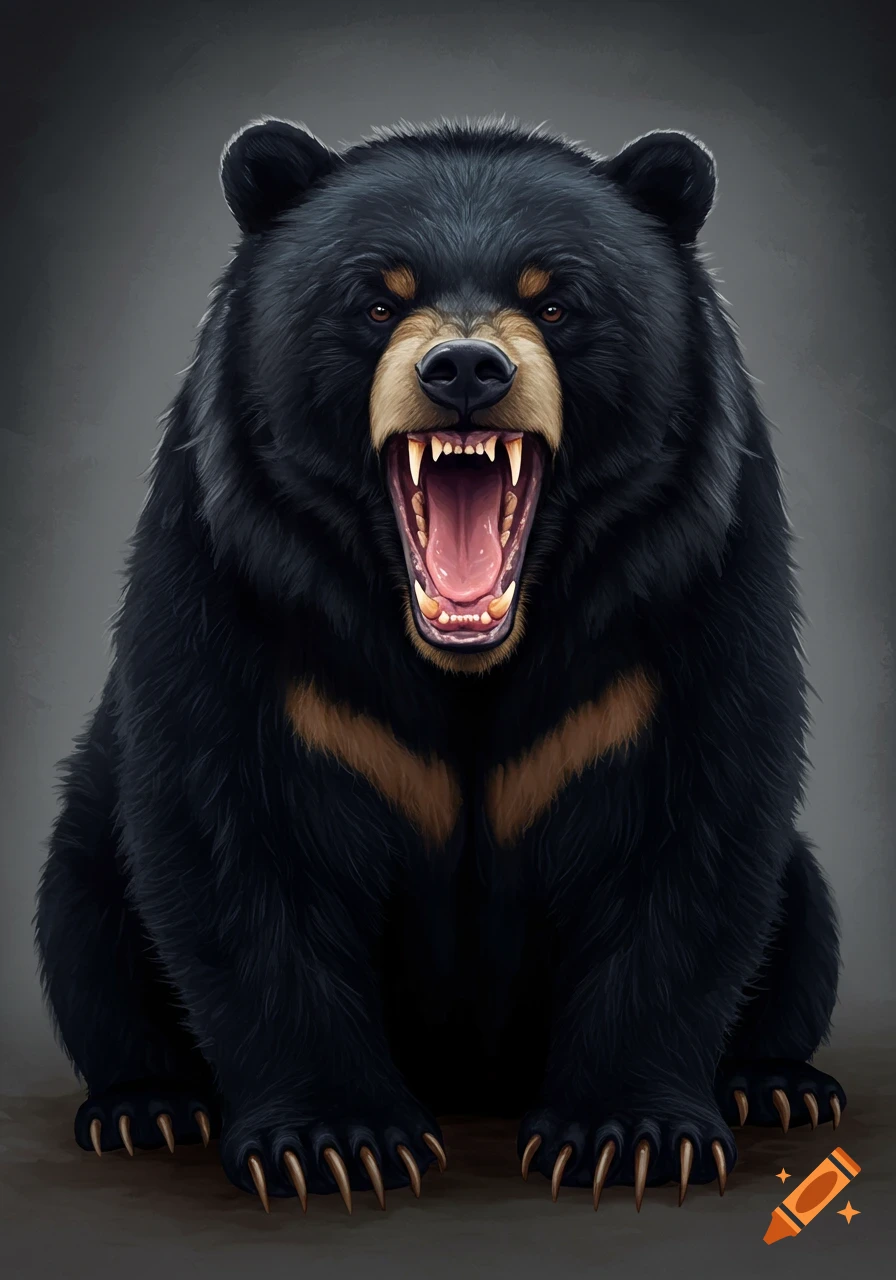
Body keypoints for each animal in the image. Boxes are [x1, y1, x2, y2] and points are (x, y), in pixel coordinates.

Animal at [35, 116, 846, 1214]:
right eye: (377, 298)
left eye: (558, 299)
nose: (464, 370)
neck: (466, 652)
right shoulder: (232, 573)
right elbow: (237, 831)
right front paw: (336, 1142)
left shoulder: (695, 576)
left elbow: (691, 833)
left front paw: (631, 1134)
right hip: (88, 840)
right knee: (83, 920)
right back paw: (148, 1106)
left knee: (800, 914)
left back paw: (776, 1085)